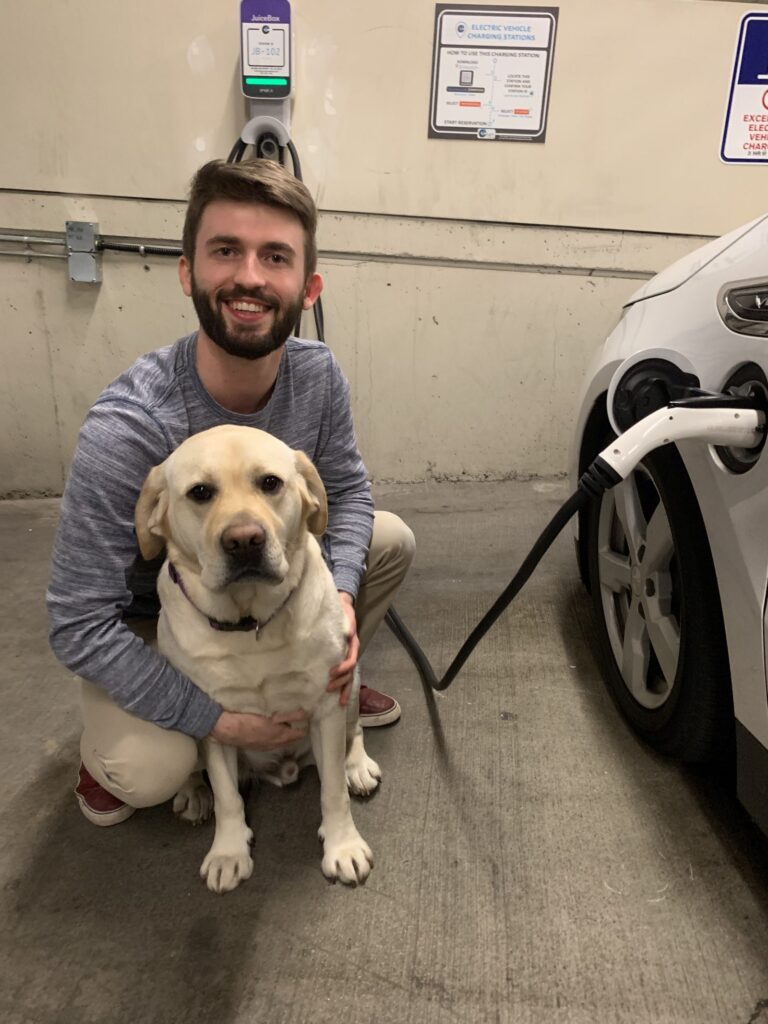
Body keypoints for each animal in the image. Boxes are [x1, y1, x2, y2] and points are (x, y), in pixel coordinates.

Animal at [137, 421, 382, 888]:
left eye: (270, 483)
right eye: (200, 492)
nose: (244, 540)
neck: (250, 624)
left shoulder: (326, 705)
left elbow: (333, 791)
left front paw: (342, 845)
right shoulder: (215, 722)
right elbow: (228, 796)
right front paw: (228, 851)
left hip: (352, 679)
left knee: (353, 732)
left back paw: (357, 764)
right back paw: (192, 792)